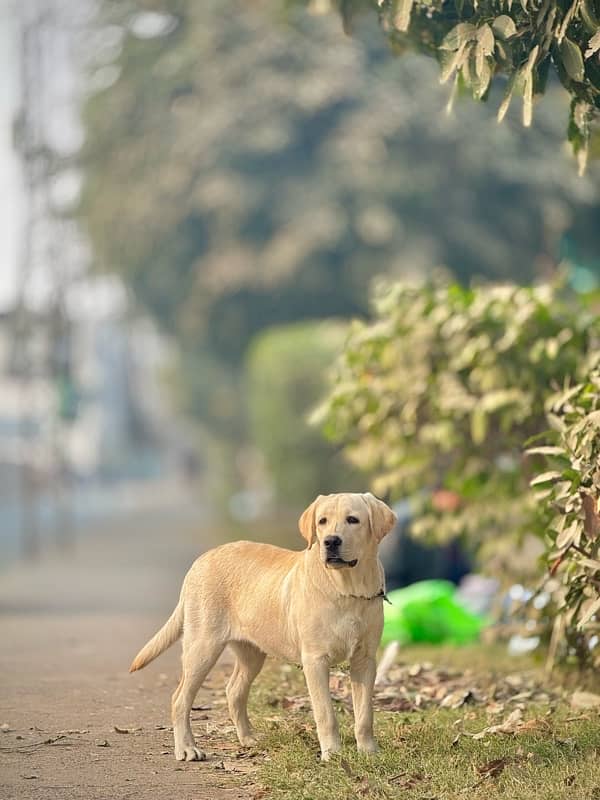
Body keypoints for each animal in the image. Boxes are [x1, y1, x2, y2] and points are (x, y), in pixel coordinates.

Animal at [129, 490, 396, 760]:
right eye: (322, 521)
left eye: (353, 520)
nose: (330, 541)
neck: (348, 589)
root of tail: (201, 560)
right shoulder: (315, 660)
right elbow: (326, 714)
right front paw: (332, 754)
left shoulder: (365, 660)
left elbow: (365, 714)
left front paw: (369, 752)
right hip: (202, 648)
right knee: (180, 698)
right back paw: (187, 748)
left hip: (252, 654)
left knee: (234, 691)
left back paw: (248, 738)